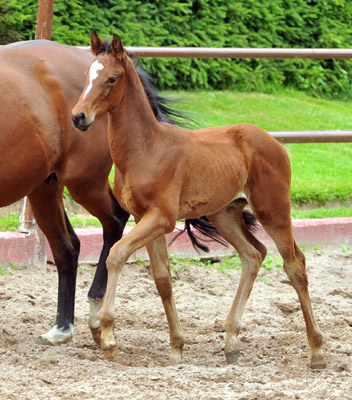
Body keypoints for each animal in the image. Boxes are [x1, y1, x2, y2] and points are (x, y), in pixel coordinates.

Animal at [0, 39, 212, 346]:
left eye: (110, 80)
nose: (79, 116)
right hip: (45, 187)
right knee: (68, 247)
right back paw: (62, 326)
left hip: (83, 183)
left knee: (114, 221)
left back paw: (94, 309)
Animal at [72, 32, 328, 370]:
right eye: (87, 76)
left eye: (111, 78)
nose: (78, 117)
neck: (145, 149)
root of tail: (276, 143)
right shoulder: (144, 218)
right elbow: (163, 279)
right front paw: (176, 348)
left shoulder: (162, 218)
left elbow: (116, 254)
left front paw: (109, 338)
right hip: (225, 214)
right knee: (253, 254)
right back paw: (231, 342)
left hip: (273, 210)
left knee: (294, 264)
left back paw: (317, 351)